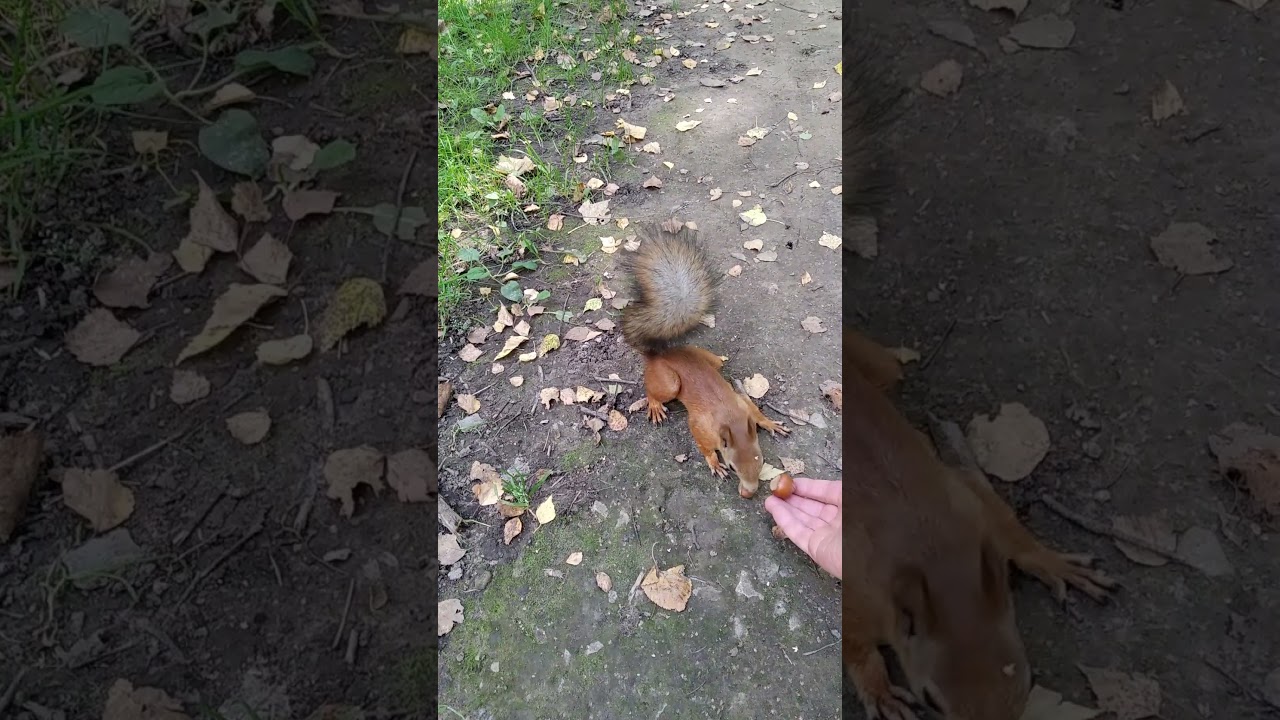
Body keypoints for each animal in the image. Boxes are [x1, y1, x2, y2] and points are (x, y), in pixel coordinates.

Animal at [619, 219, 789, 499]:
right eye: (732, 466)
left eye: (761, 459)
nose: (750, 493)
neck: (732, 419)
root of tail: (658, 354)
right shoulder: (701, 425)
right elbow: (702, 443)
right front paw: (713, 461)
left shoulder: (743, 405)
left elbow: (754, 410)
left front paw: (769, 423)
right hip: (669, 383)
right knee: (653, 390)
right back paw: (654, 405)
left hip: (712, 363)